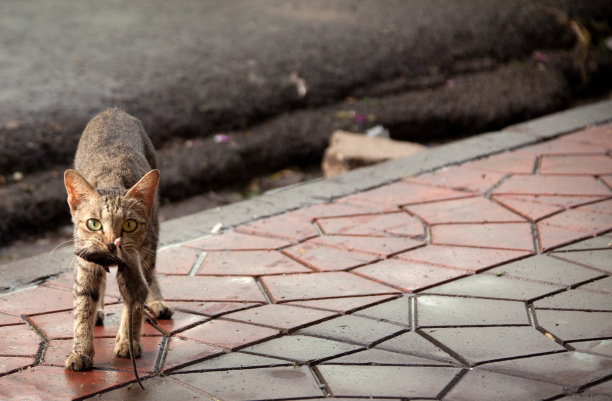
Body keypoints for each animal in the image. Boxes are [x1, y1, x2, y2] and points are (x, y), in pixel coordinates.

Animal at [63, 108, 173, 376]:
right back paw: (100, 310)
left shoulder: (137, 262)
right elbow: (83, 308)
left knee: (150, 275)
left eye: (129, 225)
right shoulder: (85, 264)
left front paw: (128, 341)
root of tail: (112, 110)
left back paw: (156, 301)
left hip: (152, 240)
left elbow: (134, 305)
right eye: (93, 224)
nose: (112, 244)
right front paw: (81, 352)